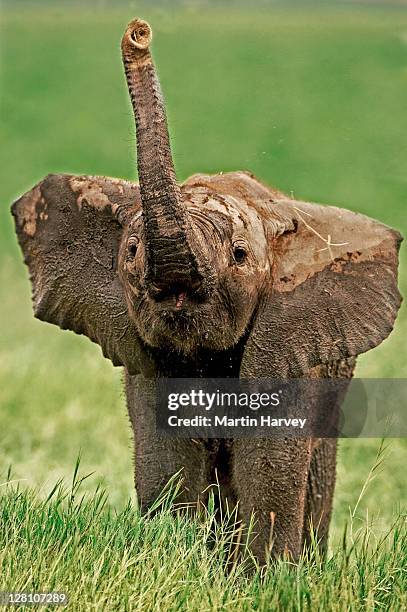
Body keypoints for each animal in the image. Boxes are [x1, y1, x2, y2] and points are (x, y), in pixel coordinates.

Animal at [11, 17, 404, 564]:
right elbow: (167, 450)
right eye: (131, 251)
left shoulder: (288, 338)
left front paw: (266, 575)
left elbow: (269, 458)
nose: (138, 31)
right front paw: (175, 556)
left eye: (239, 255)